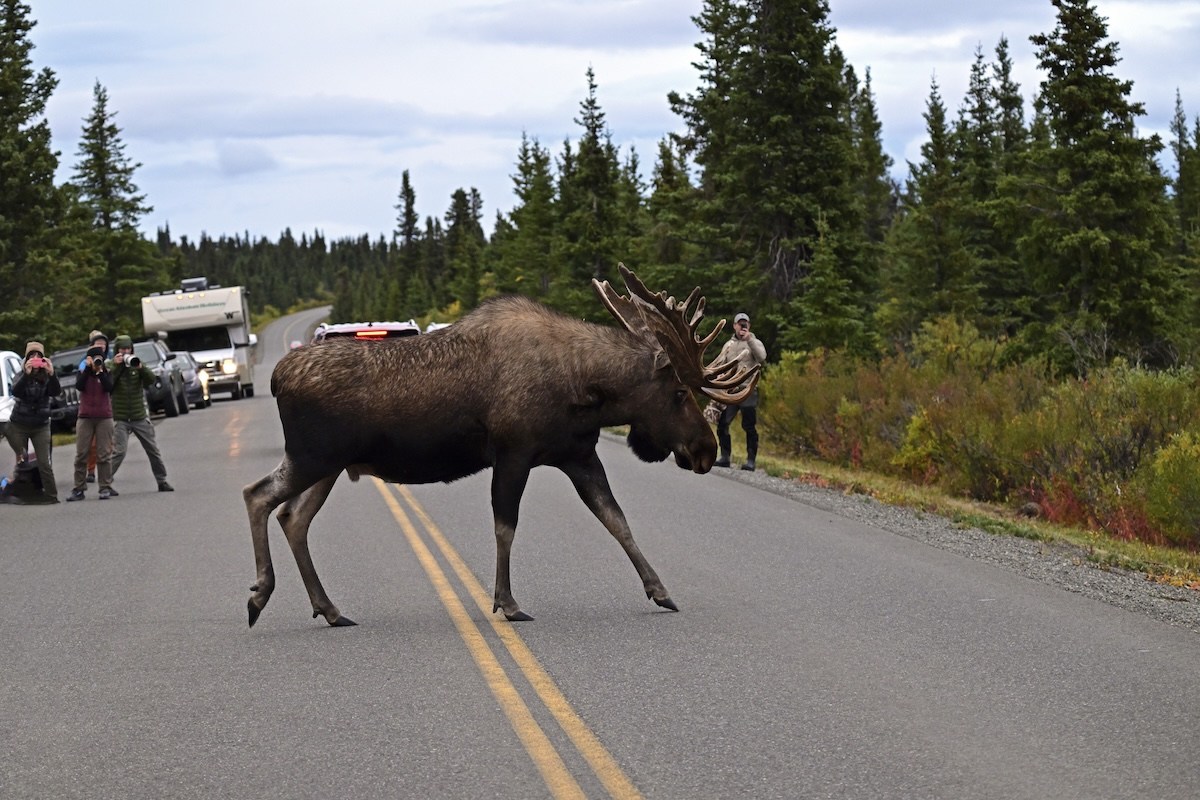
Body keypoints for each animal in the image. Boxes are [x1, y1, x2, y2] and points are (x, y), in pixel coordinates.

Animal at [243, 265, 760, 627]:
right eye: (680, 392)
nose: (705, 452)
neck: (587, 389)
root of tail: (275, 378)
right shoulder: (514, 454)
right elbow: (505, 527)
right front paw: (507, 603)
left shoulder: (577, 454)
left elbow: (617, 520)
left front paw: (661, 590)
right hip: (312, 457)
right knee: (257, 495)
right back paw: (260, 595)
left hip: (329, 466)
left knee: (293, 518)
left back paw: (329, 609)